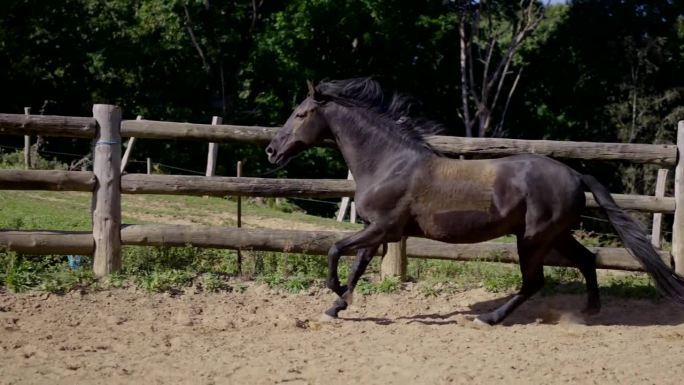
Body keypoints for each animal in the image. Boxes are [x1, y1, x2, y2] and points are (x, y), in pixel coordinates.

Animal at [266, 78, 684, 324]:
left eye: (301, 114)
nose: (272, 150)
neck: (389, 162)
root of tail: (575, 175)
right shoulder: (376, 230)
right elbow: (356, 264)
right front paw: (337, 306)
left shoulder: (384, 227)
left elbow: (335, 249)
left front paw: (336, 294)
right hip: (556, 235)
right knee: (586, 260)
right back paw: (588, 312)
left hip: (532, 239)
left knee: (535, 282)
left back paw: (491, 318)